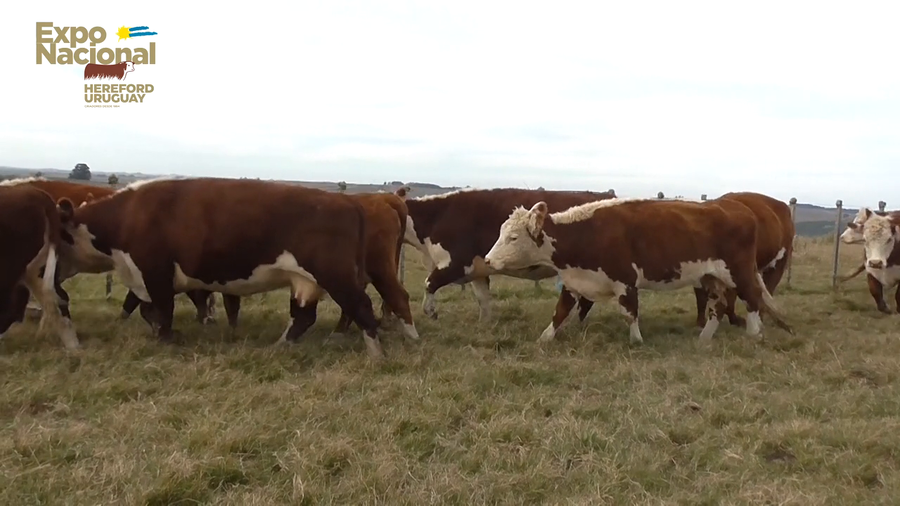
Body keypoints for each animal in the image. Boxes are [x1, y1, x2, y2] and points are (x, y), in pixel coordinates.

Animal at [56, 177, 387, 360]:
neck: (128, 216)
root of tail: (347, 202)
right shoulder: (145, 279)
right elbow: (149, 311)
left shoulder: (156, 274)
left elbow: (162, 312)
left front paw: (167, 340)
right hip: (305, 281)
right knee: (304, 316)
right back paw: (280, 345)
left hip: (336, 275)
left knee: (361, 307)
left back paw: (376, 354)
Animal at [403, 188, 617, 323]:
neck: (437, 216)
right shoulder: (478, 271)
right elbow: (483, 299)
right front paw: (484, 324)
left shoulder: (455, 263)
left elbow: (429, 283)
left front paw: (430, 312)